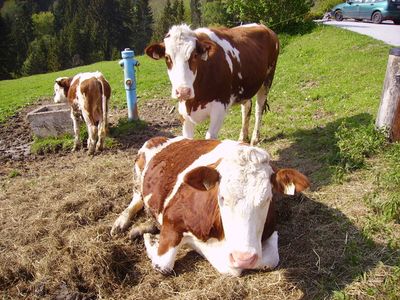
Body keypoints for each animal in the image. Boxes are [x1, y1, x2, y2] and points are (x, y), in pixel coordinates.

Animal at [110, 137, 310, 276]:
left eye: (267, 199)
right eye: (221, 197)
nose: (243, 258)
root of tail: (161, 138)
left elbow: (269, 259)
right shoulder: (173, 220)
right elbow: (164, 265)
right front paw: (151, 240)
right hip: (138, 171)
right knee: (136, 198)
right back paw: (121, 223)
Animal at [145, 23, 280, 145]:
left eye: (195, 55)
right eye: (167, 58)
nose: (183, 92)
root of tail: (263, 26)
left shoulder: (219, 108)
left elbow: (209, 137)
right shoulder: (183, 113)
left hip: (268, 78)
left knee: (259, 109)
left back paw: (255, 138)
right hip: (245, 86)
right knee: (247, 106)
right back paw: (243, 137)